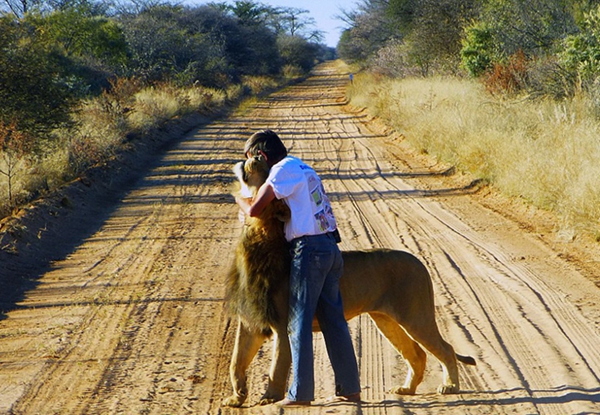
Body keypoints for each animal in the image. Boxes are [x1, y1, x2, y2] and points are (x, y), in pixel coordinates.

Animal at [223, 156, 476, 406]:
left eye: (268, 174)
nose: (255, 157)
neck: (258, 235)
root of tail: (420, 262)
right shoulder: (249, 322)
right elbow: (235, 361)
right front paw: (236, 398)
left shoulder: (282, 323)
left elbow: (277, 366)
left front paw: (269, 398)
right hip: (386, 320)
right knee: (417, 353)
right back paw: (407, 389)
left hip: (415, 316)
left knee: (446, 349)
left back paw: (450, 386)